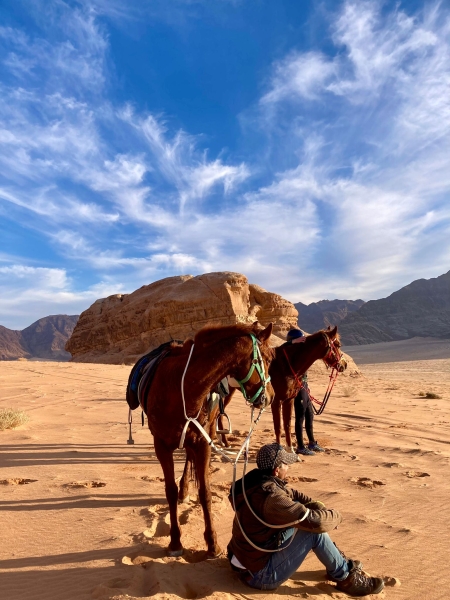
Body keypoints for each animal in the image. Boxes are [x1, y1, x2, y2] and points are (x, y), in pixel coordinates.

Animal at [142, 324, 274, 556]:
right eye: (267, 359)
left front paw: (212, 543)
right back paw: (184, 491)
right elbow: (170, 491)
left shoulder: (203, 443)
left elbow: (205, 492)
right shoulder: (161, 446)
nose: (271, 396)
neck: (181, 387)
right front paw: (175, 542)